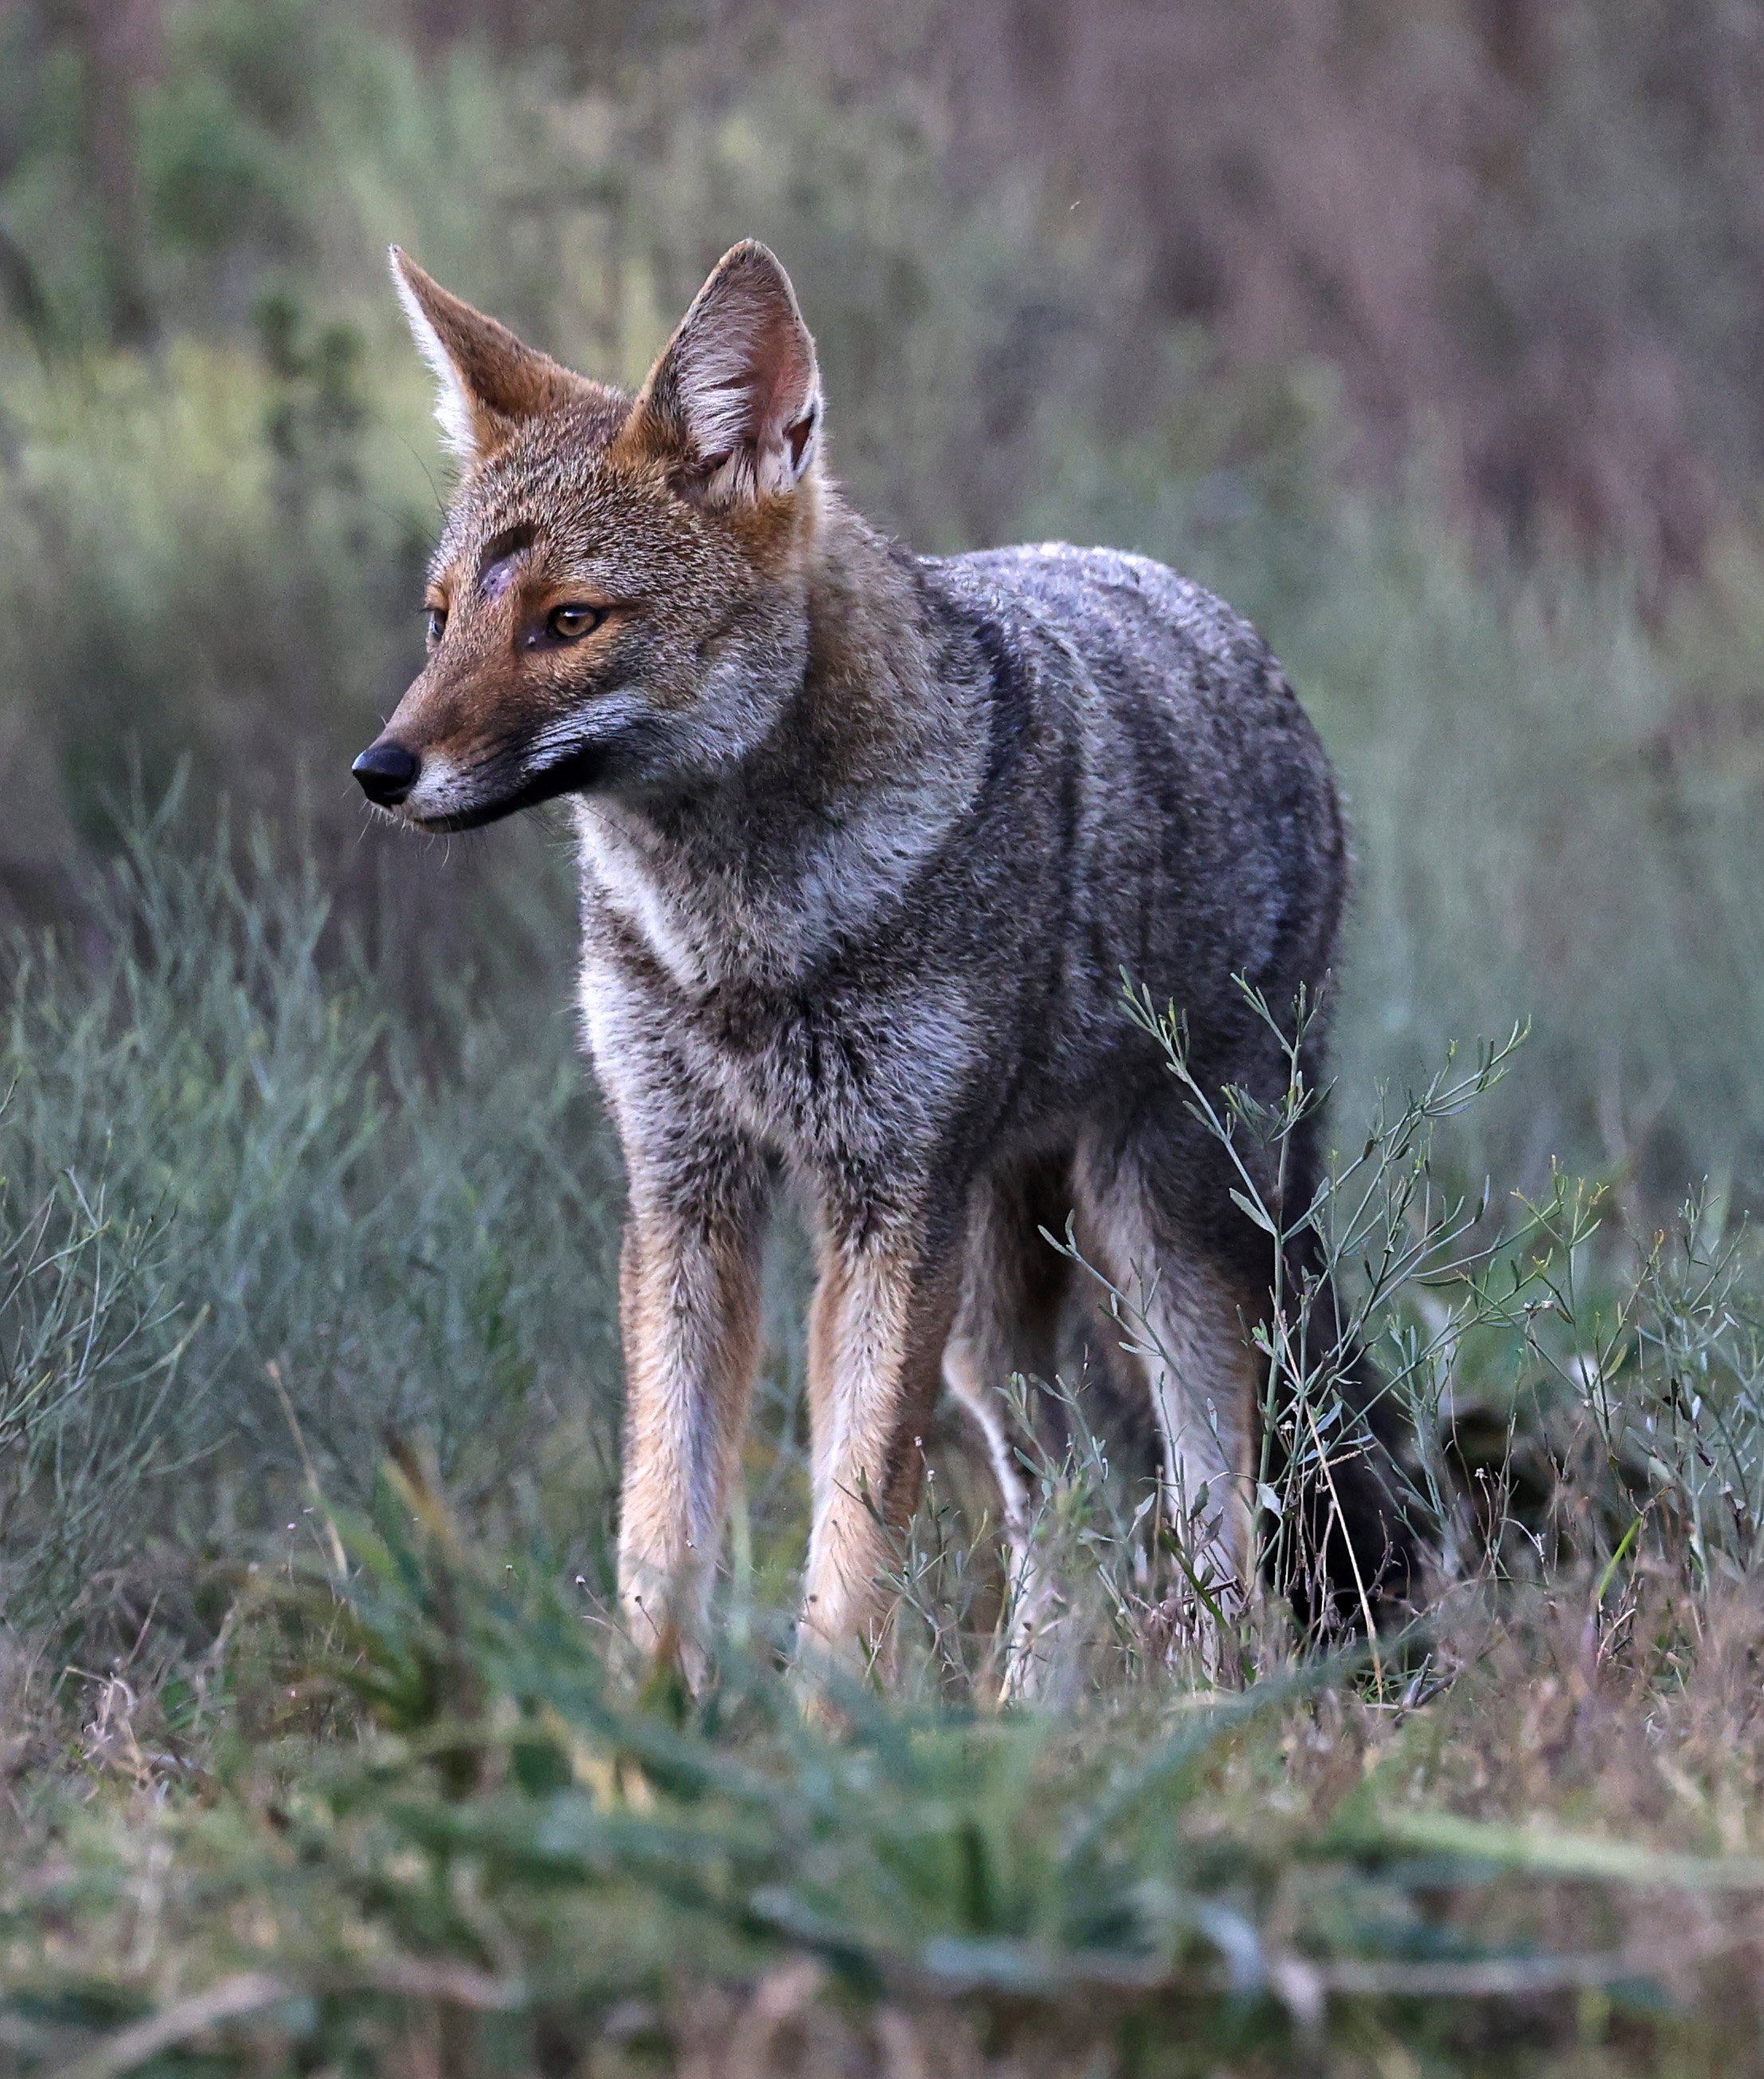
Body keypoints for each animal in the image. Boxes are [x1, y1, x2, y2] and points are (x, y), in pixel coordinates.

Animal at [354, 237, 1415, 1690]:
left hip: (1164, 1236)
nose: (378, 770)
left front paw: (827, 1732)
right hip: (991, 1313)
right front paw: (644, 1727)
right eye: (440, 619)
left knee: (1219, 1506)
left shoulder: (887, 1207)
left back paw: (1219, 1702)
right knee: (1062, 1508)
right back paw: (1031, 1712)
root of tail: (1211, 614)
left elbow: (853, 1543)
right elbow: (659, 1527)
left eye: (569, 622)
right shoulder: (685, 1194)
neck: (734, 941)